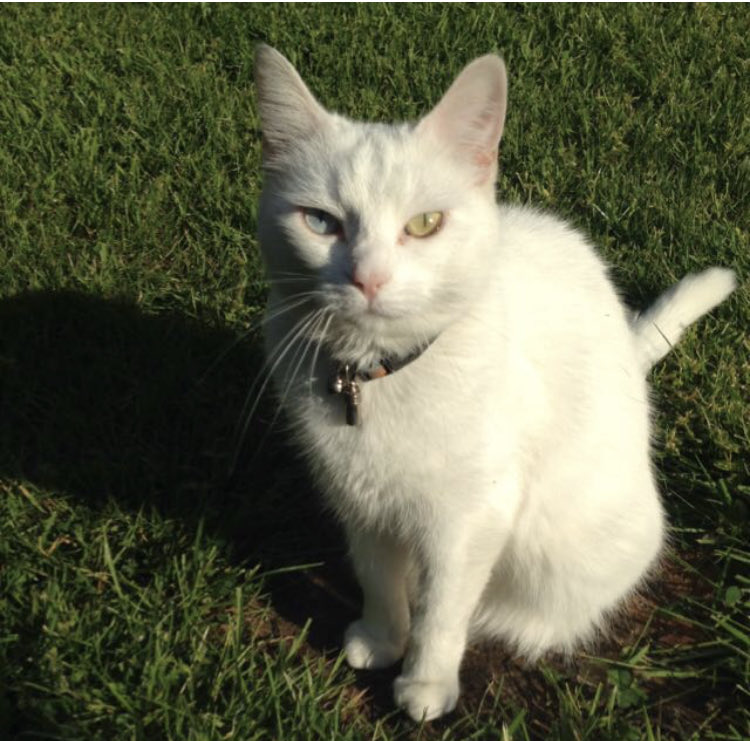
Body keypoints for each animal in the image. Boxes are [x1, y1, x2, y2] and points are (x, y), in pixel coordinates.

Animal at [254, 44, 740, 716]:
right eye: (321, 223)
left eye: (425, 224)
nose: (369, 279)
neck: (377, 376)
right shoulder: (359, 498)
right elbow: (376, 575)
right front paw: (382, 637)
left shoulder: (471, 516)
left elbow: (442, 607)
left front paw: (425, 681)